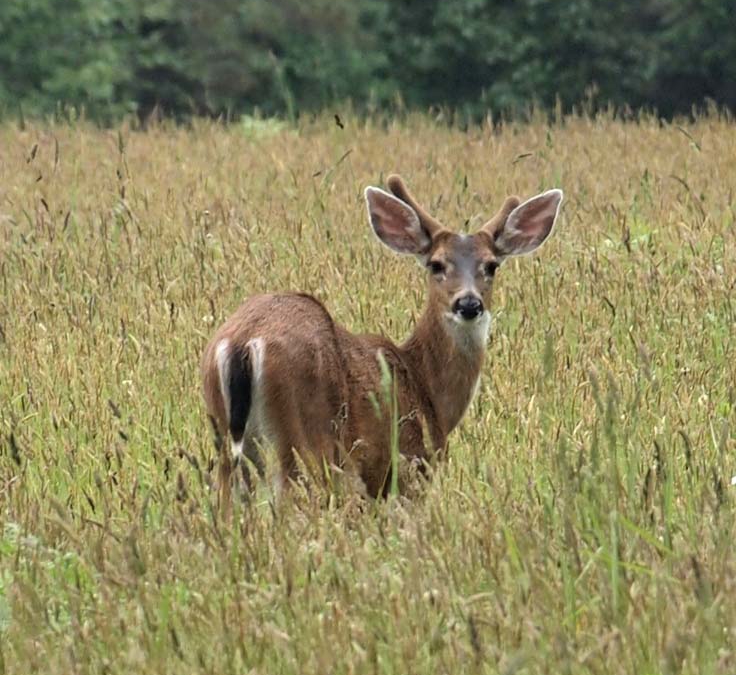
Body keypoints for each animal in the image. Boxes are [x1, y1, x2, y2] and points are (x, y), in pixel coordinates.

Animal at [198, 173, 560, 508]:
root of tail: (243, 343)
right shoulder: (409, 467)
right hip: (305, 441)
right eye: (436, 264)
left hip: (225, 440)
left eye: (491, 265)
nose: (468, 303)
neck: (427, 389)